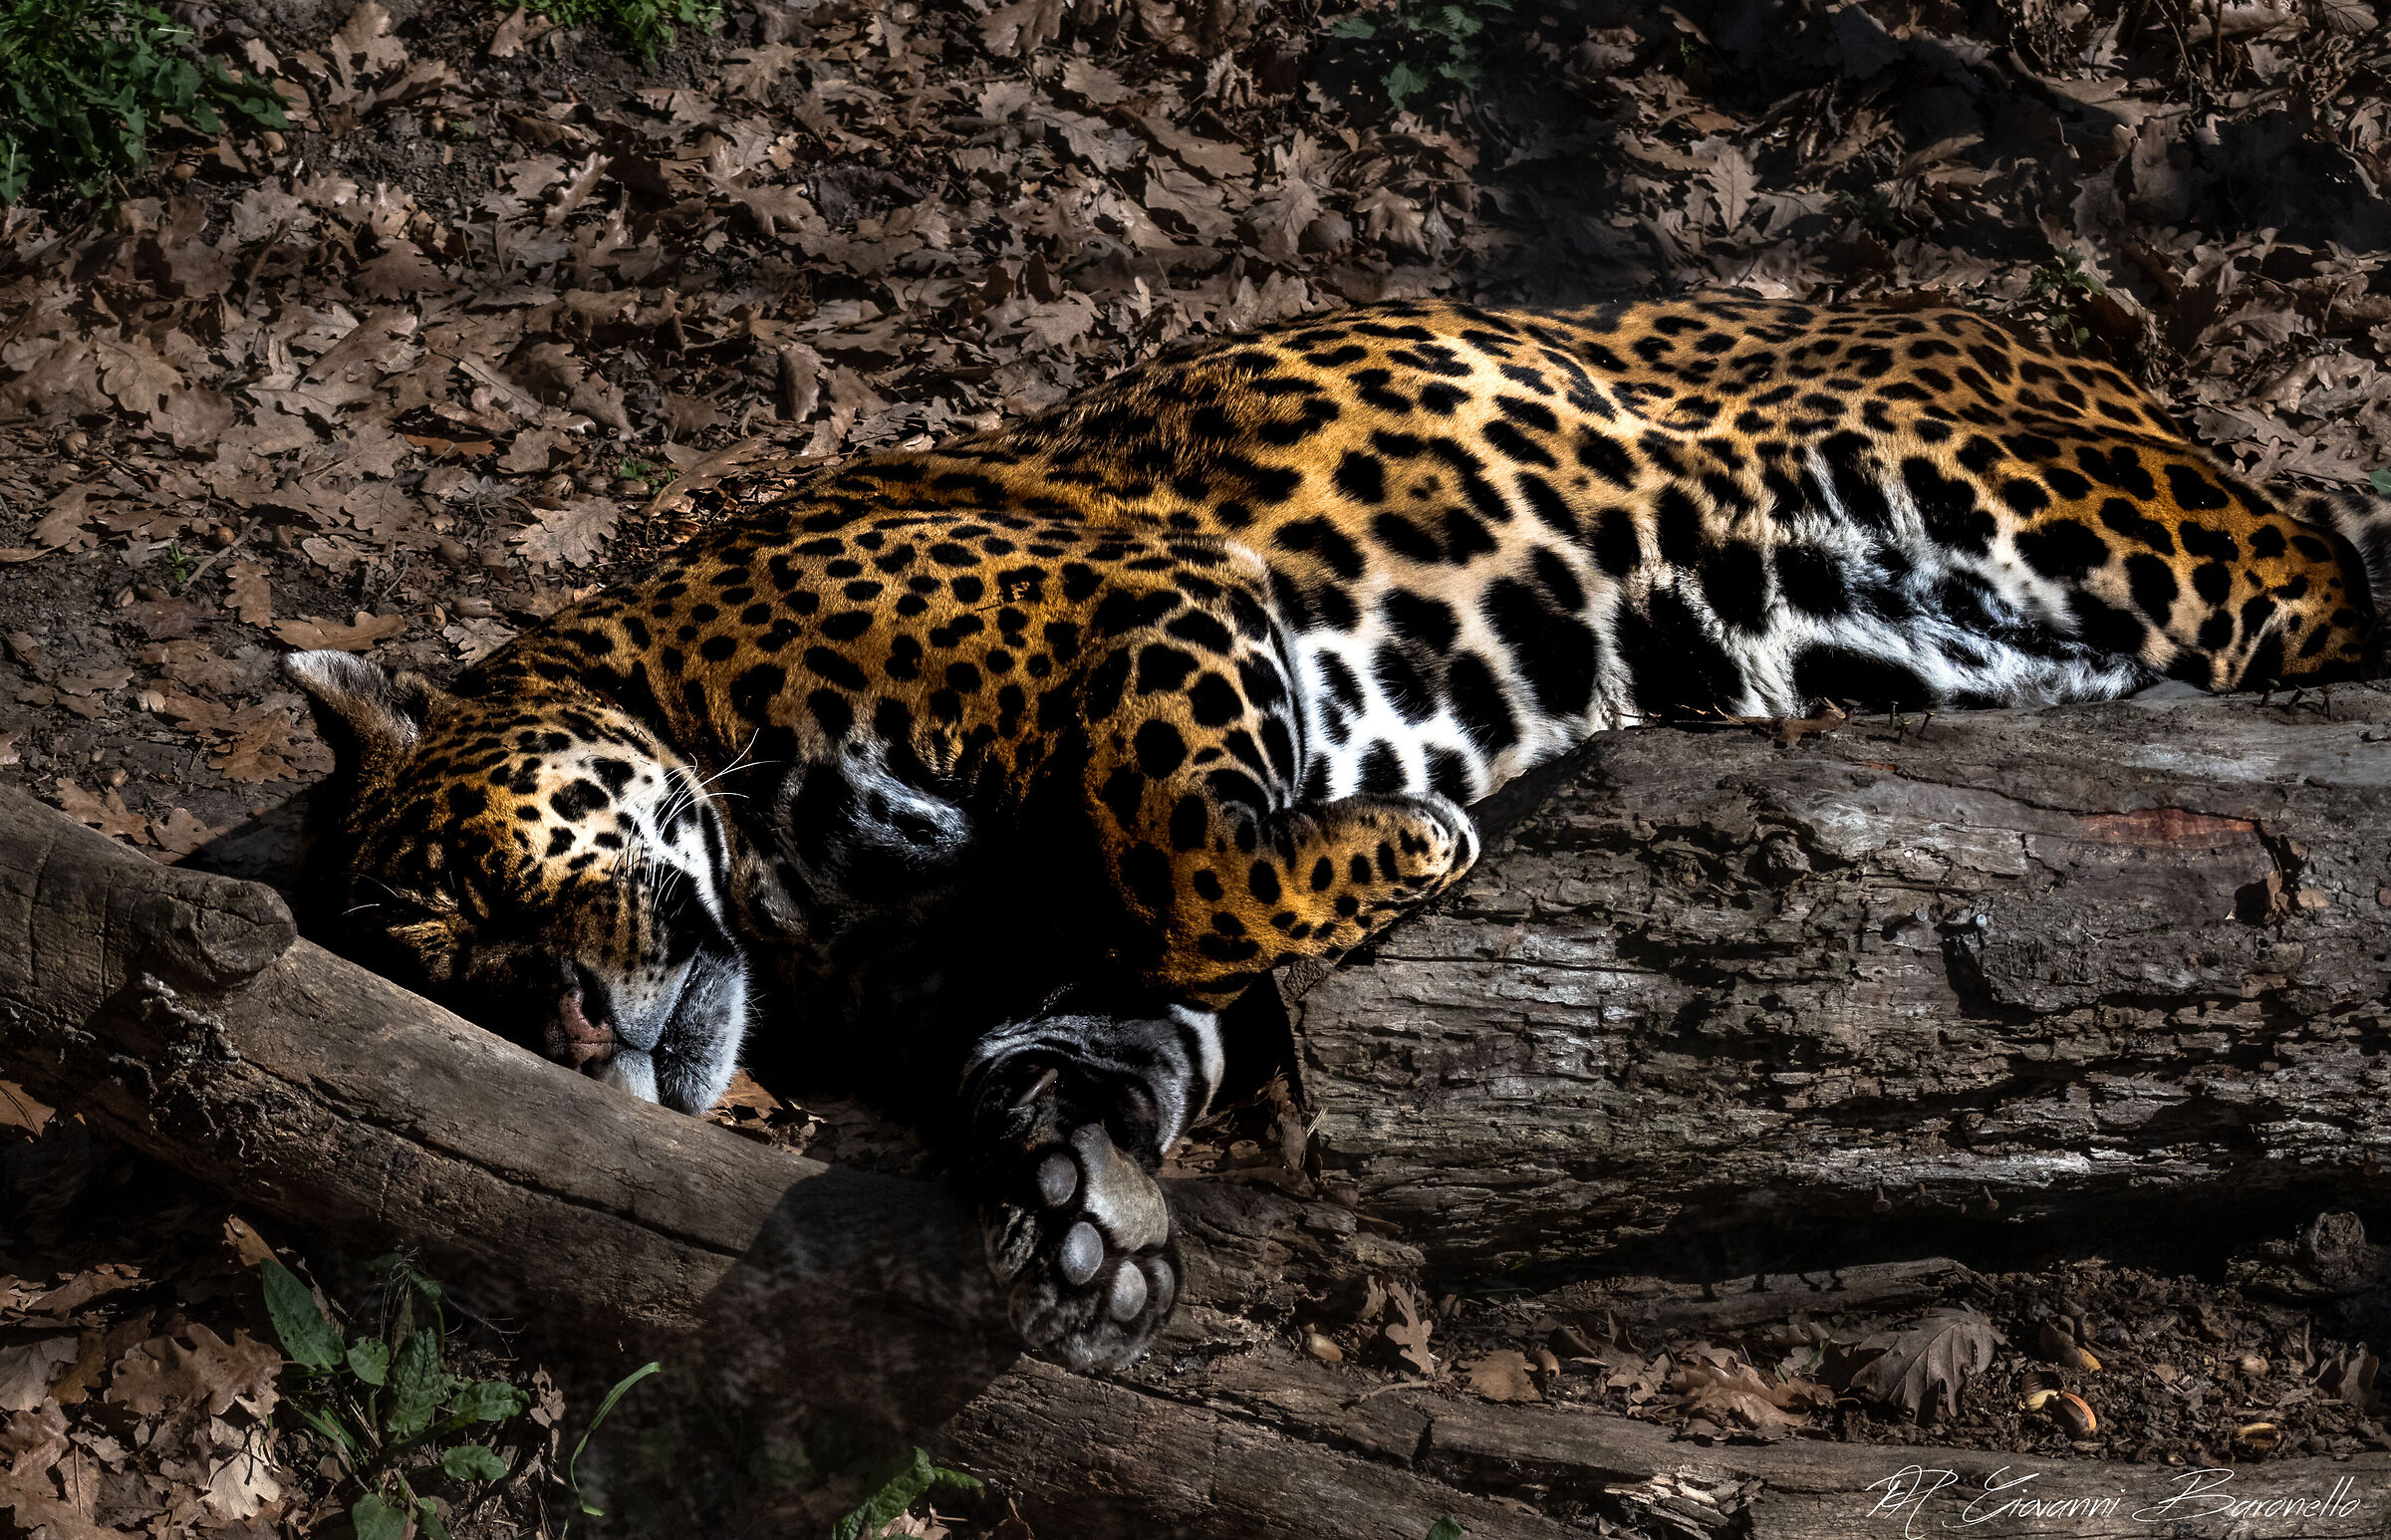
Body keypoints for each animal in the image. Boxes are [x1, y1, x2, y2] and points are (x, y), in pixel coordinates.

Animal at [287, 295, 2391, 1371]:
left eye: (484, 893)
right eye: (455, 989)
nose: (568, 1023)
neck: (797, 896)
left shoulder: (1138, 605)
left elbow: (1181, 851)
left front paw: (1412, 836)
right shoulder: (1051, 955)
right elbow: (1094, 1036)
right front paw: (1087, 1215)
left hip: (2000, 483)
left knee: (2322, 561)